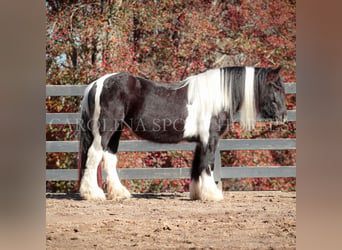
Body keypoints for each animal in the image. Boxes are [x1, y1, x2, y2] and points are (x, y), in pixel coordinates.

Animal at [77, 66, 286, 201]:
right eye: (276, 87)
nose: (283, 116)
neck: (217, 96)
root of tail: (97, 83)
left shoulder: (201, 141)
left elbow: (197, 166)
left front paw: (197, 194)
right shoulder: (210, 139)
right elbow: (207, 164)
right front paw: (213, 195)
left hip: (116, 130)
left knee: (109, 158)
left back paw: (119, 193)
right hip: (106, 128)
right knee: (94, 155)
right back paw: (93, 194)